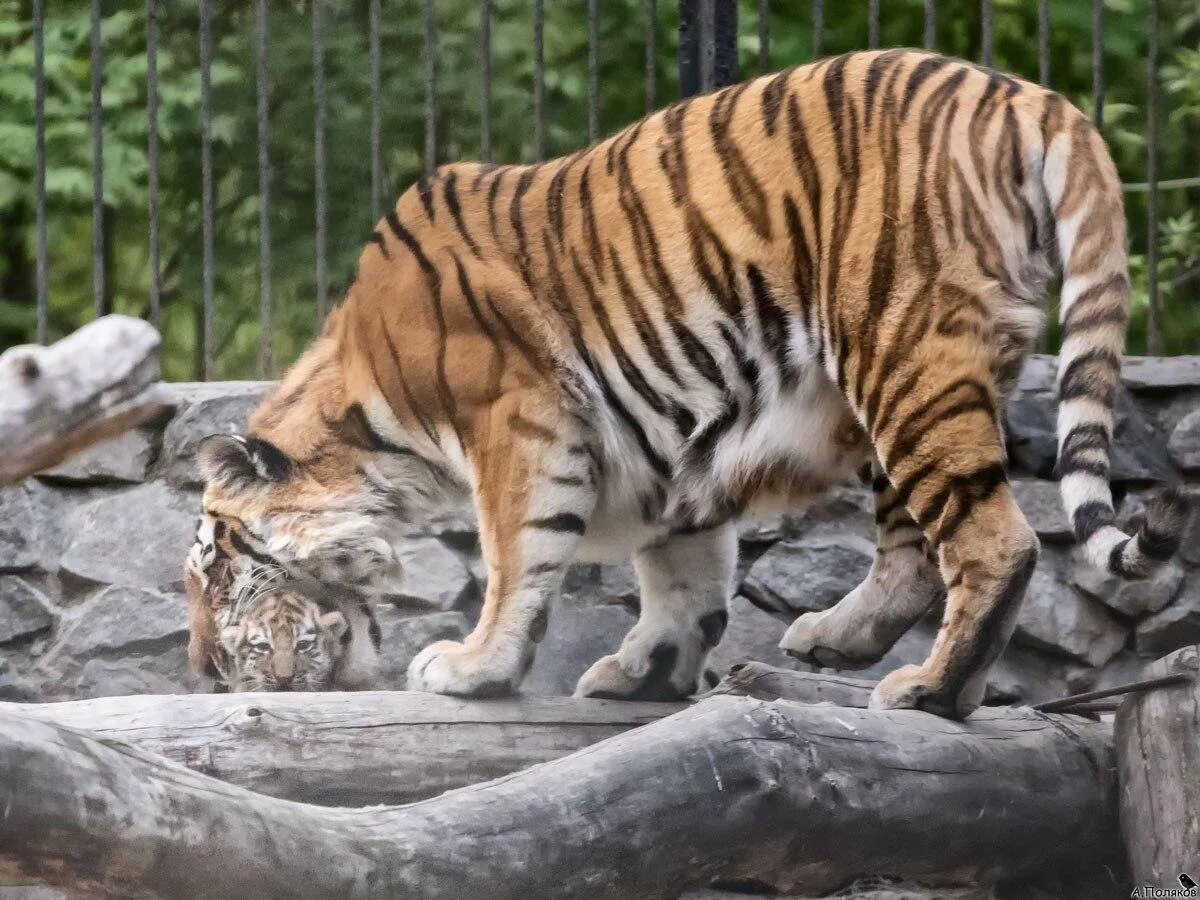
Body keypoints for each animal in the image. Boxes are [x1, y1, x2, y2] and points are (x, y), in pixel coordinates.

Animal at [187, 54, 1190, 720]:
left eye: (215, 569)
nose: (200, 668)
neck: (373, 430)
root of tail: (1031, 94)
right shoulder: (672, 452)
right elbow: (683, 577)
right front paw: (647, 672)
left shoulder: (518, 420)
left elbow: (517, 558)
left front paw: (475, 667)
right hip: (899, 389)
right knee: (913, 551)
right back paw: (844, 640)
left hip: (903, 354)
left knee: (995, 542)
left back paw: (929, 691)